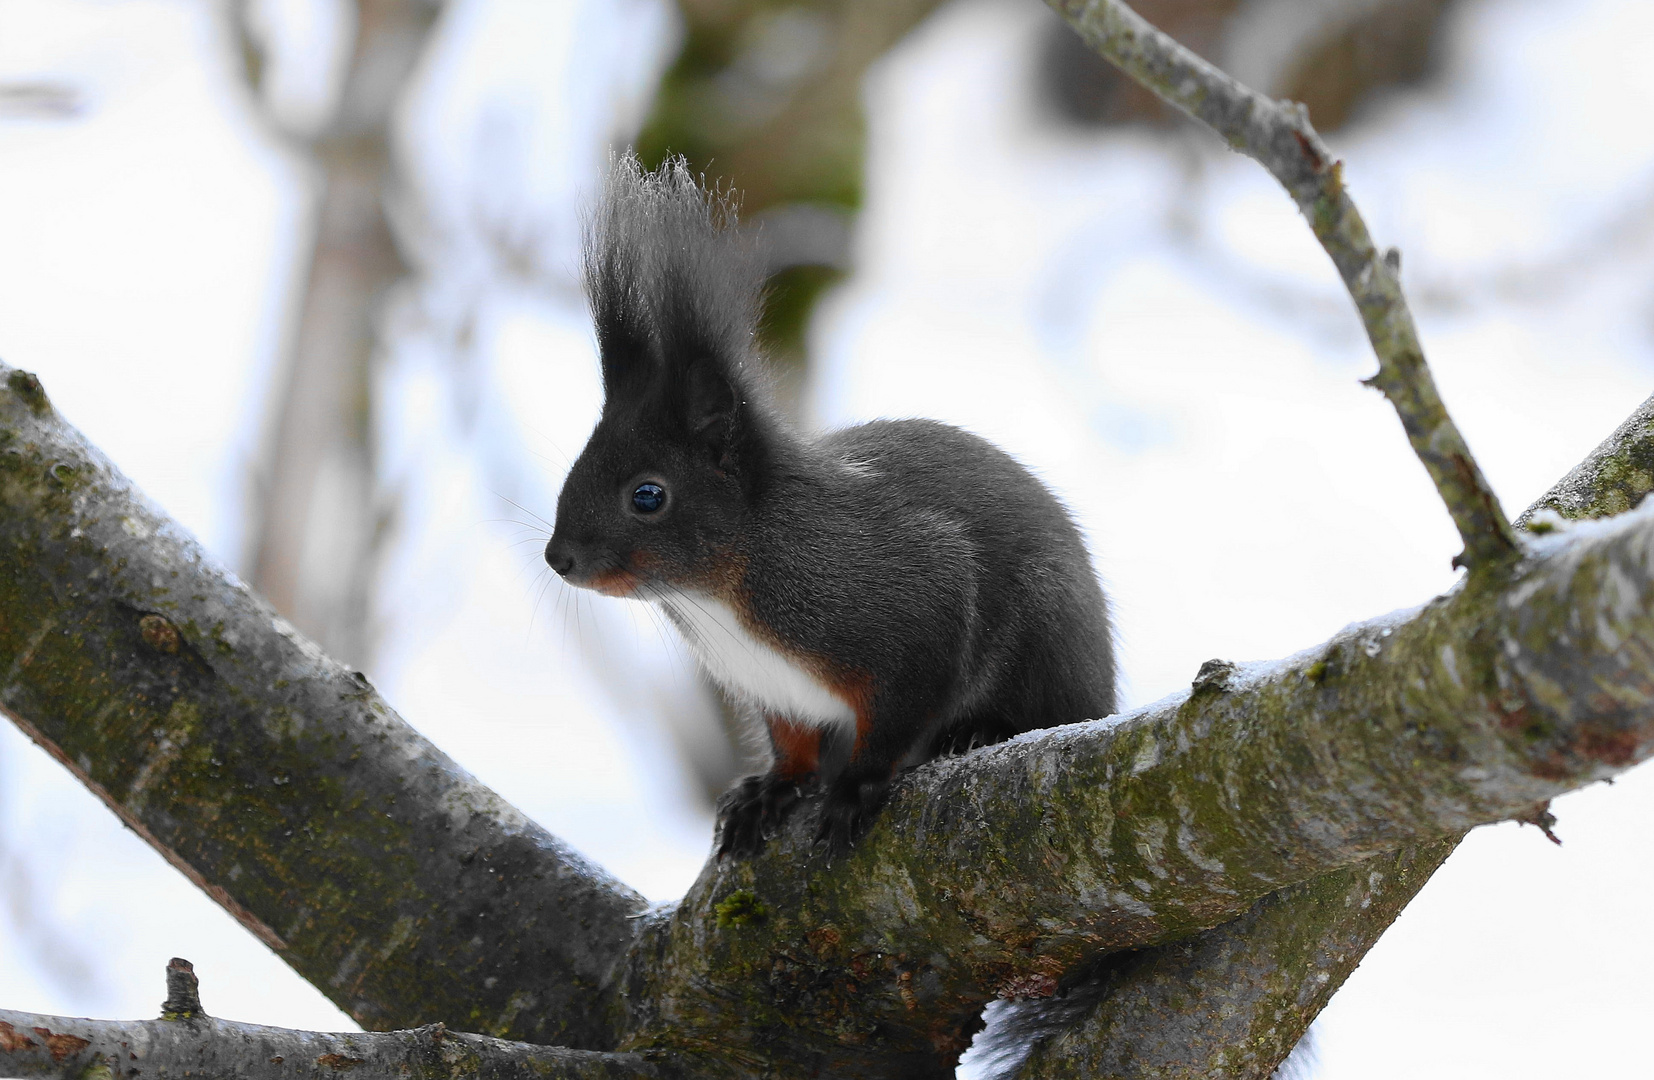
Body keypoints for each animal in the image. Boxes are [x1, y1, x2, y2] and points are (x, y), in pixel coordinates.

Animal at [549, 153, 1118, 860]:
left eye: (647, 496)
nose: (558, 558)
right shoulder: (774, 689)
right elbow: (792, 746)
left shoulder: (909, 605)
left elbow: (898, 716)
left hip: (1049, 626)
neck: (721, 587)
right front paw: (770, 790)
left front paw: (854, 788)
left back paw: (980, 731)